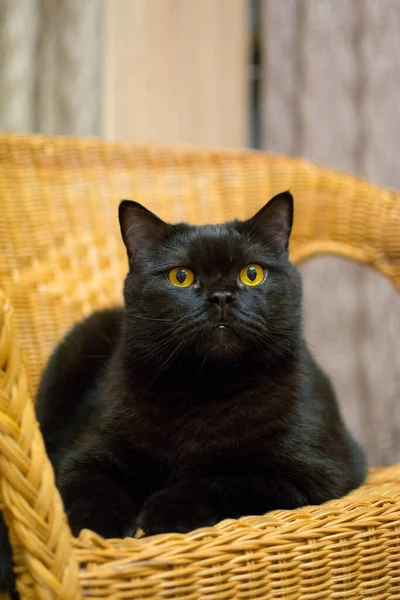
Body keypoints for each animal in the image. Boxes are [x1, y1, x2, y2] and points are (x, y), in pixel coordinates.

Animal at [0, 192, 368, 592]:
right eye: (181, 276)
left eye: (252, 273)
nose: (221, 296)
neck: (203, 388)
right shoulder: (86, 452)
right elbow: (89, 484)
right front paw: (96, 524)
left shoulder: (315, 472)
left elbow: (225, 480)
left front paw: (166, 509)